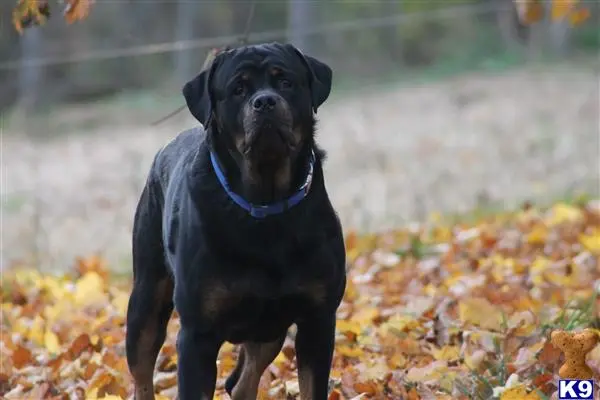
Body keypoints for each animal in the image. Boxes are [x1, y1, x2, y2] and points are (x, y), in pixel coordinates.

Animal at [125, 41, 346, 400]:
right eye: (238, 89)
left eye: (286, 82)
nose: (265, 101)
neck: (265, 205)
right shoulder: (197, 335)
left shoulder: (318, 319)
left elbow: (312, 386)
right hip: (146, 297)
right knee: (142, 370)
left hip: (269, 327)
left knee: (241, 382)